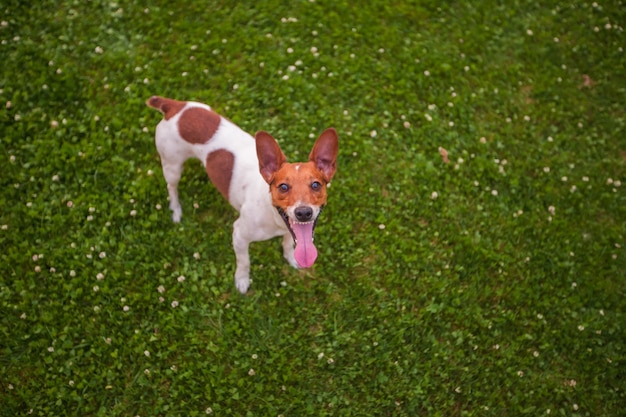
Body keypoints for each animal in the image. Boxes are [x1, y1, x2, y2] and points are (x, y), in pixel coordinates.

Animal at [145, 96, 336, 292]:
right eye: (283, 187)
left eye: (316, 185)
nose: (303, 213)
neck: (272, 214)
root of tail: (173, 106)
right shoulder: (239, 235)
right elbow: (244, 262)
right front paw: (242, 280)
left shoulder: (291, 232)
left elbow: (288, 244)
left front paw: (290, 258)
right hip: (172, 166)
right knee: (172, 188)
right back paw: (176, 210)